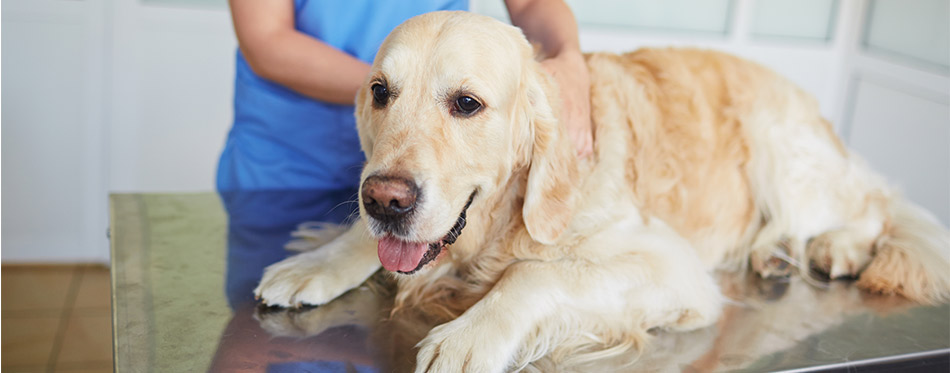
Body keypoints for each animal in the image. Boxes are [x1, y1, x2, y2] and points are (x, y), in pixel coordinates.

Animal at [255, 10, 950, 370]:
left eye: (467, 104)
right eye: (380, 92)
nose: (385, 200)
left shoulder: (669, 265)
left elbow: (533, 276)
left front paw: (466, 338)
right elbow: (361, 246)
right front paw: (315, 262)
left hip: (781, 144)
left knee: (874, 206)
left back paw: (834, 247)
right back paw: (776, 253)